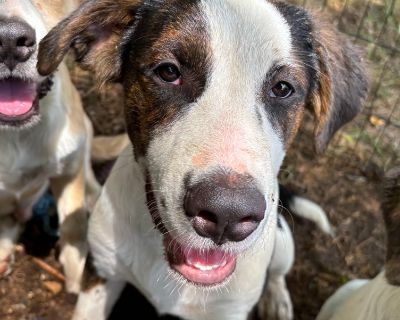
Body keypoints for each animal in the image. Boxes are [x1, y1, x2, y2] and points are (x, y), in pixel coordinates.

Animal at [38, 0, 368, 320]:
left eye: (283, 88)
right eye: (168, 72)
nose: (227, 215)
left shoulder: (230, 308)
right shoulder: (101, 273)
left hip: (282, 240)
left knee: (277, 273)